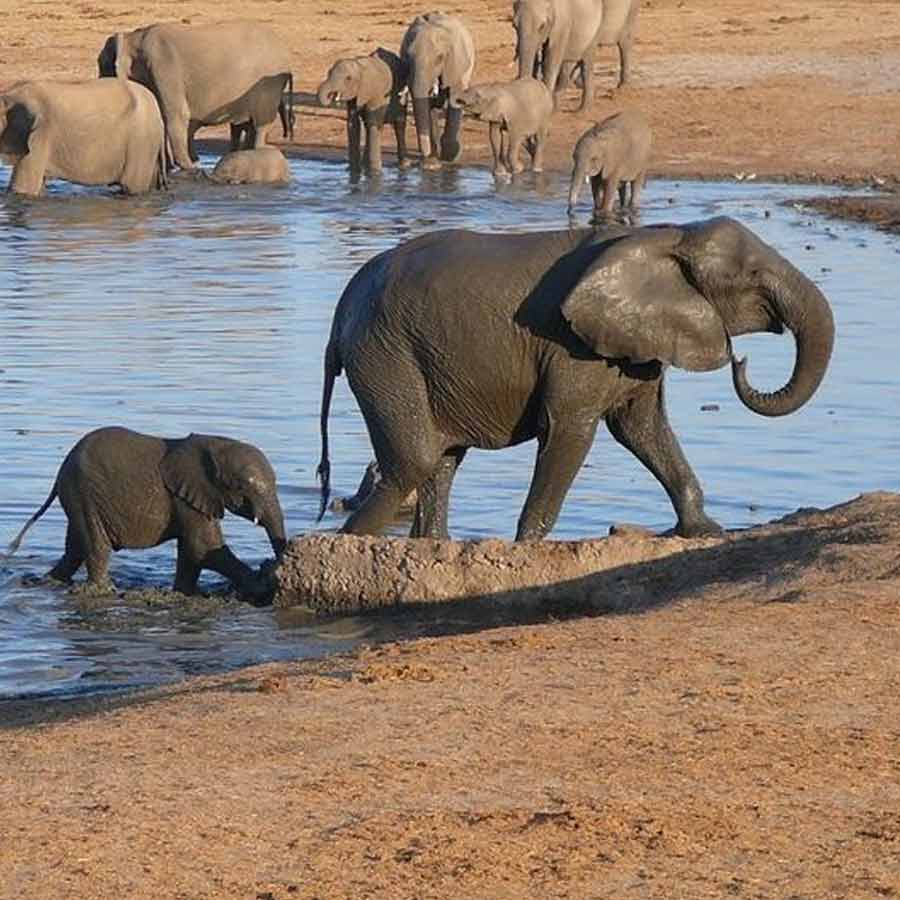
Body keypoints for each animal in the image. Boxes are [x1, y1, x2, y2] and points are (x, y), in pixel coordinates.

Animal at [6, 427, 286, 598]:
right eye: (242, 487)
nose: (275, 566)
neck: (215, 443)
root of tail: (59, 472)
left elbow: (193, 551)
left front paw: (186, 594)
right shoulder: (186, 497)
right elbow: (204, 547)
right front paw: (262, 584)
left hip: (78, 495)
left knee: (75, 547)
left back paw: (48, 581)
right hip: (83, 491)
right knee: (96, 545)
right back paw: (105, 590)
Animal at [97, 23, 294, 172]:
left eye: (102, 65)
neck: (135, 37)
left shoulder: (164, 66)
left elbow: (176, 115)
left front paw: (188, 168)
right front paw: (172, 168)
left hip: (268, 87)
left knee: (260, 125)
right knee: (247, 125)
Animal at [316, 217, 835, 541]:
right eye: (752, 275)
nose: (740, 361)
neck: (668, 237)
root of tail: (340, 309)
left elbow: (642, 428)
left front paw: (705, 532)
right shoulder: (573, 345)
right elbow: (570, 428)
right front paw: (527, 546)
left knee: (442, 460)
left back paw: (432, 546)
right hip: (384, 352)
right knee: (415, 459)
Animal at [400, 12, 476, 168]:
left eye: (439, 58)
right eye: (408, 57)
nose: (423, 163)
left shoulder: (455, 62)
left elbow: (454, 96)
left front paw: (449, 156)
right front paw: (431, 163)